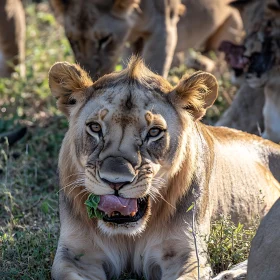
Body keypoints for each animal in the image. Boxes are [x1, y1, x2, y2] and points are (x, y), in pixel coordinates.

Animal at [49, 55, 280, 278]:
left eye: (154, 132)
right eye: (95, 127)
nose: (115, 181)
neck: (128, 235)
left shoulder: (187, 255)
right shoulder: (76, 255)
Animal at [50, 0, 243, 78]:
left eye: (104, 39)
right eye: (72, 40)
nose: (90, 77)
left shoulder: (165, 27)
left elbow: (155, 69)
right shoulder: (131, 41)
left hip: (233, 25)